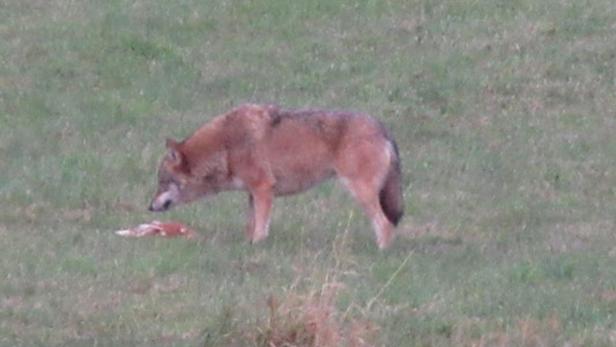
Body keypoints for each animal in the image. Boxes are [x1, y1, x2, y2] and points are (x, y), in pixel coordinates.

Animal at [149, 104, 404, 250]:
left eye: (162, 182)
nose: (149, 207)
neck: (225, 146)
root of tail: (383, 129)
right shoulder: (253, 194)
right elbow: (251, 225)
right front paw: (249, 244)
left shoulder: (263, 188)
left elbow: (261, 227)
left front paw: (258, 245)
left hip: (361, 192)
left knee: (385, 224)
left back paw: (380, 251)